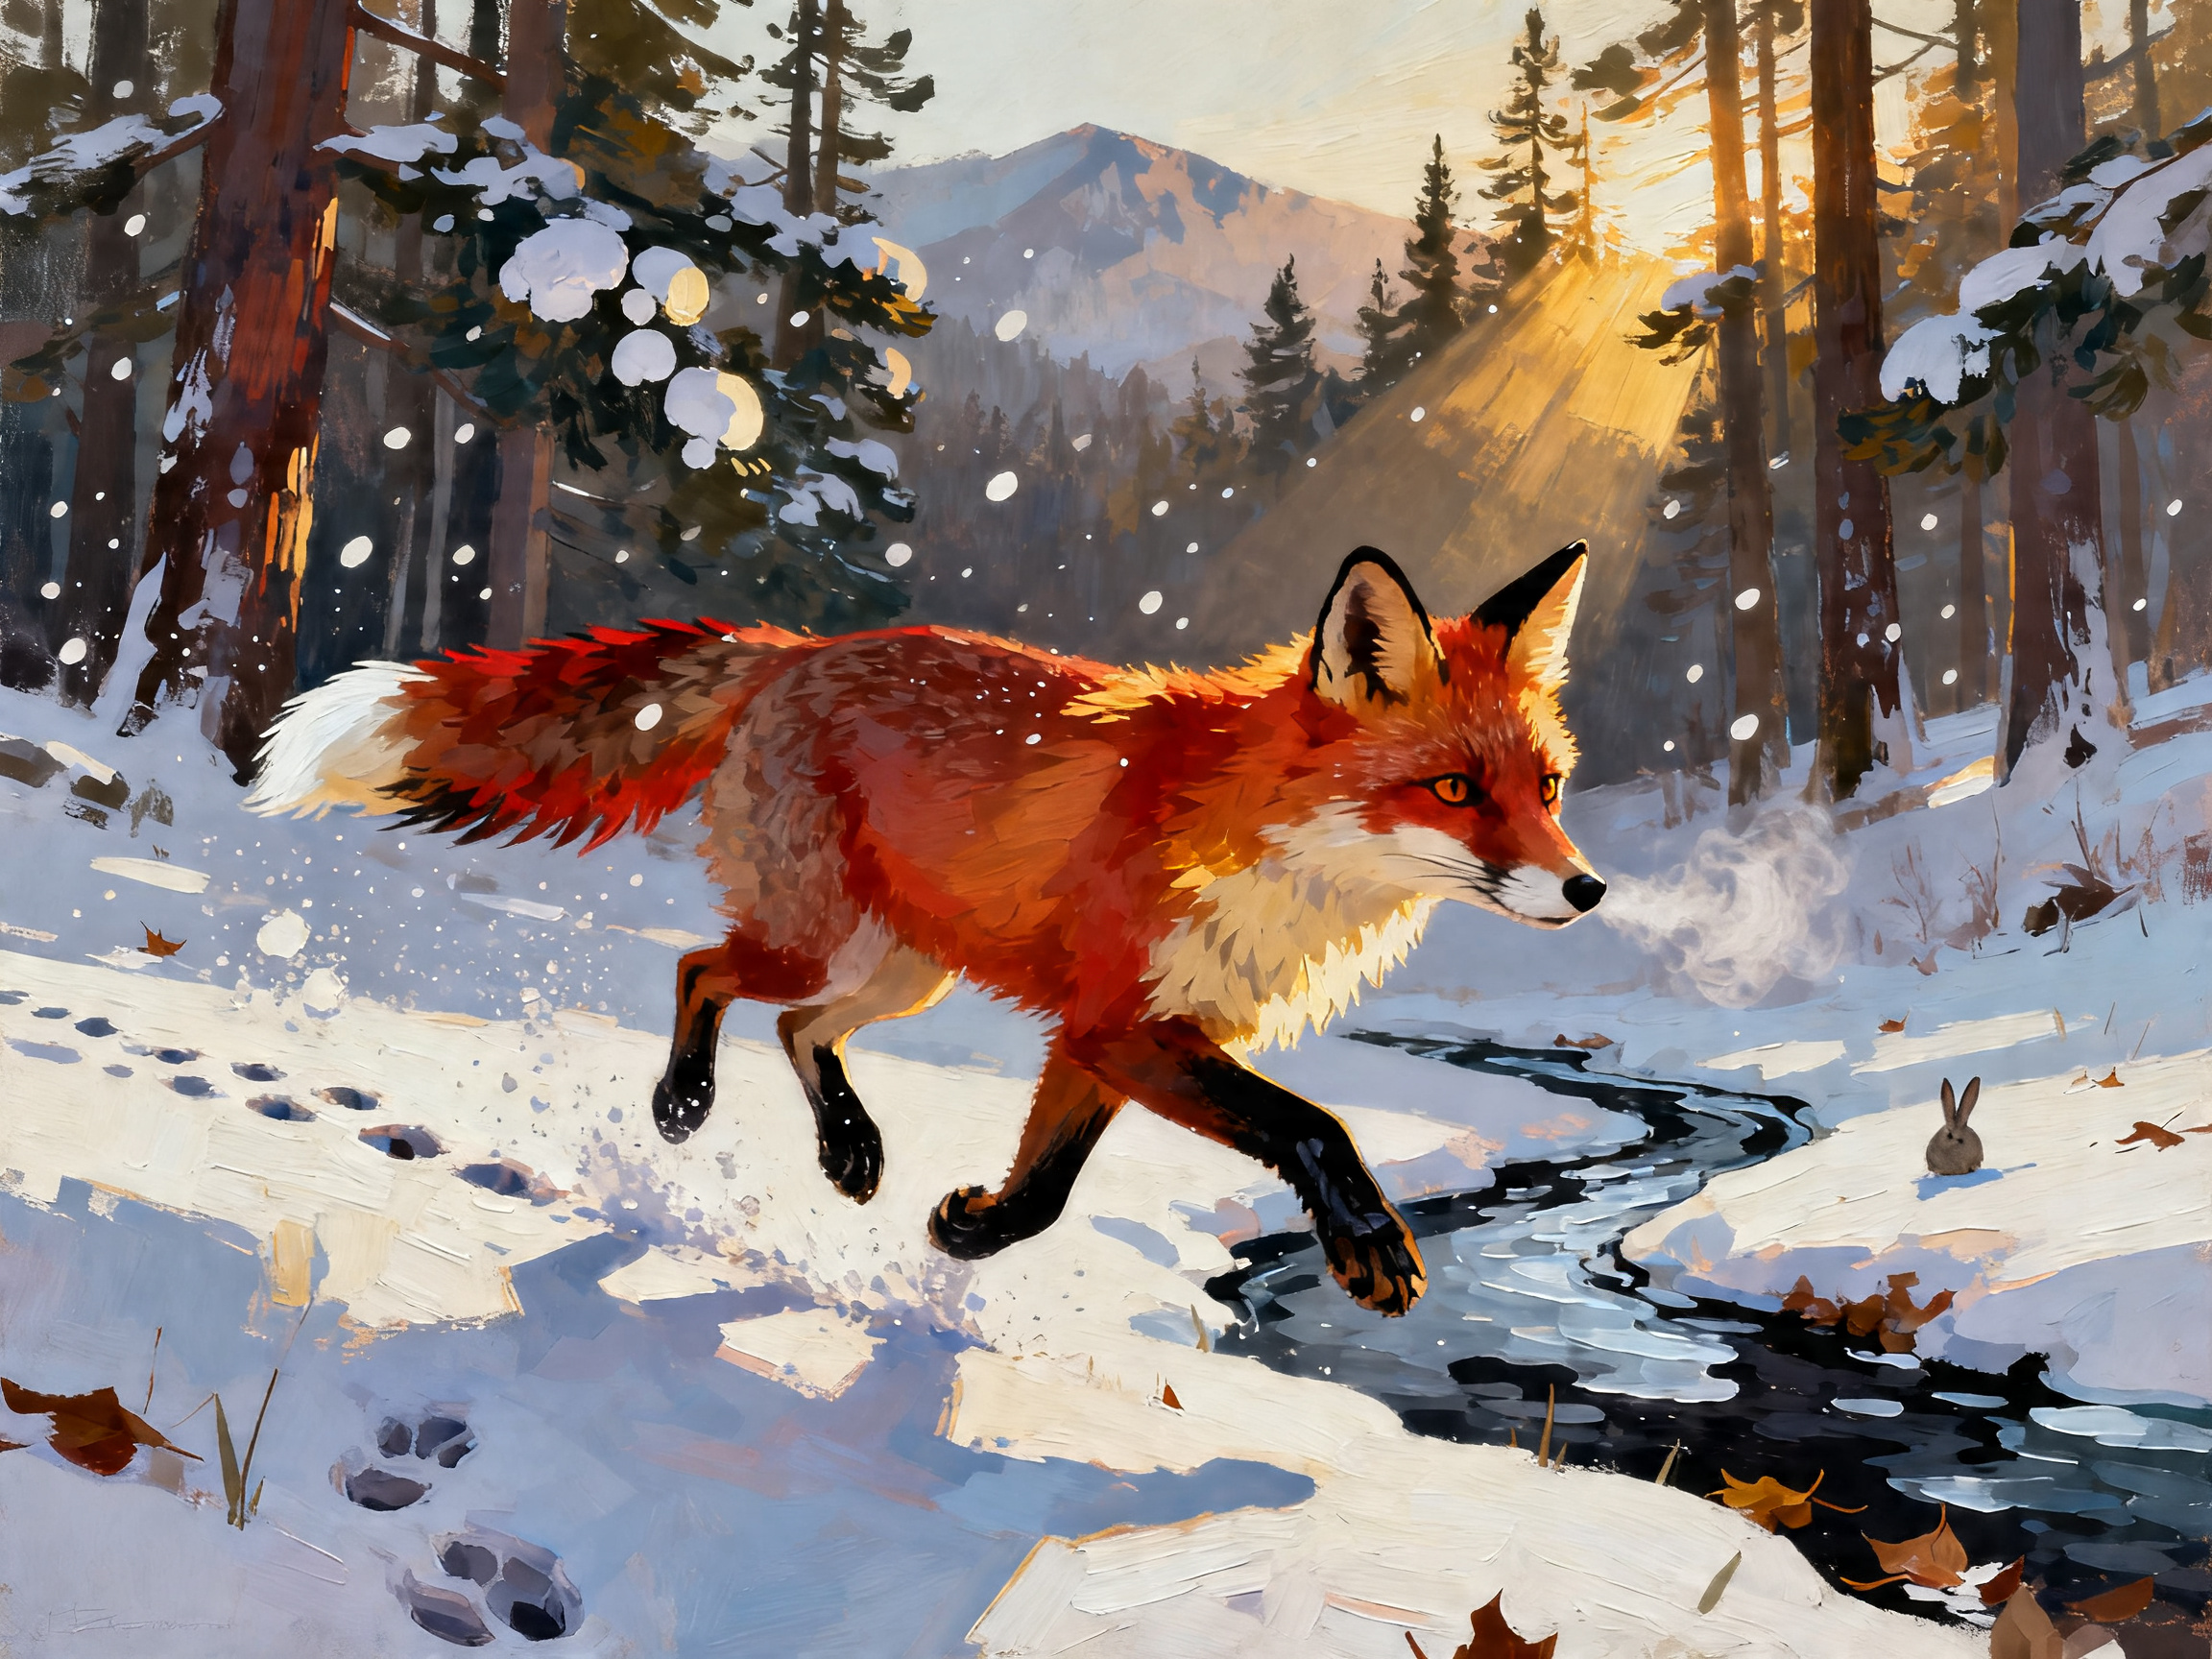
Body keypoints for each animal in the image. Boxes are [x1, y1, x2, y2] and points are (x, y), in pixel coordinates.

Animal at [246, 544, 1604, 1315]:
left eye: (1546, 789)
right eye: (1453, 789)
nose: (1588, 892)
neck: (1269, 848)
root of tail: (793, 649)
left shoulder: (1106, 1039)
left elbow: (1046, 1194)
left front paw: (968, 1230)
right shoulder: (1123, 1020)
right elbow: (1311, 1122)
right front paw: (1371, 1242)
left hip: (905, 973)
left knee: (799, 1028)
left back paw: (849, 1148)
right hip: (822, 936)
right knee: (702, 970)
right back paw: (683, 1103)